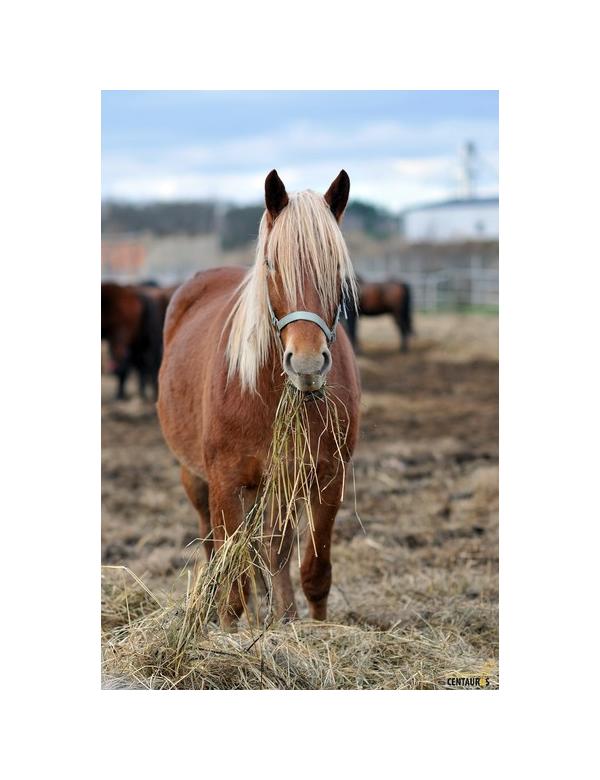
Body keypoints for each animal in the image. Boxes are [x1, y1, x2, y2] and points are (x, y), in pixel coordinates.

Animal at [157, 169, 358, 628]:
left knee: (270, 550)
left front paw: (310, 627)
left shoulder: (325, 478)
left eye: (336, 268)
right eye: (272, 265)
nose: (307, 363)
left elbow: (310, 569)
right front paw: (231, 632)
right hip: (196, 478)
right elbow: (234, 574)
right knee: (218, 550)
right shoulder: (226, 481)